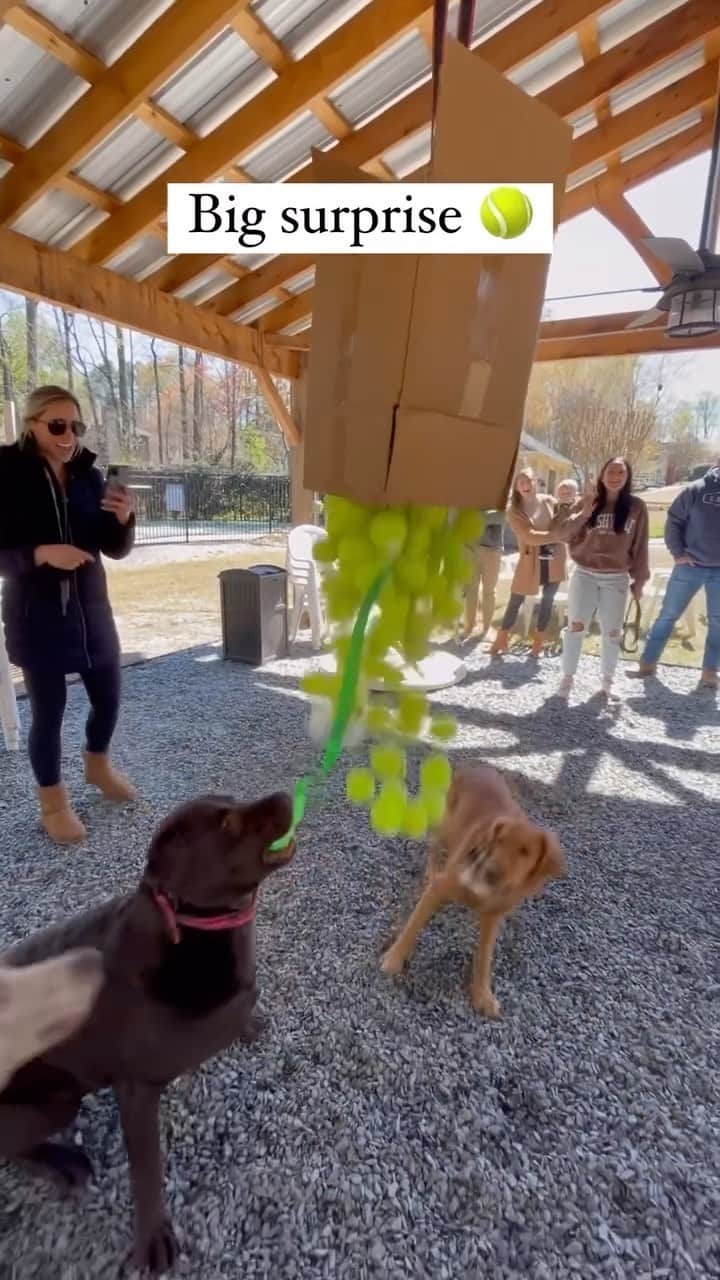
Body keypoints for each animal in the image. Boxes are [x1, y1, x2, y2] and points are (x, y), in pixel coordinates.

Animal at [0, 788, 294, 1269]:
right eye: (227, 824)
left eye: (233, 802)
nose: (287, 794)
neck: (190, 923)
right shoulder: (135, 1089)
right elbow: (148, 1169)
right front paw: (153, 1235)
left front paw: (249, 1025)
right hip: (56, 1101)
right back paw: (61, 1163)